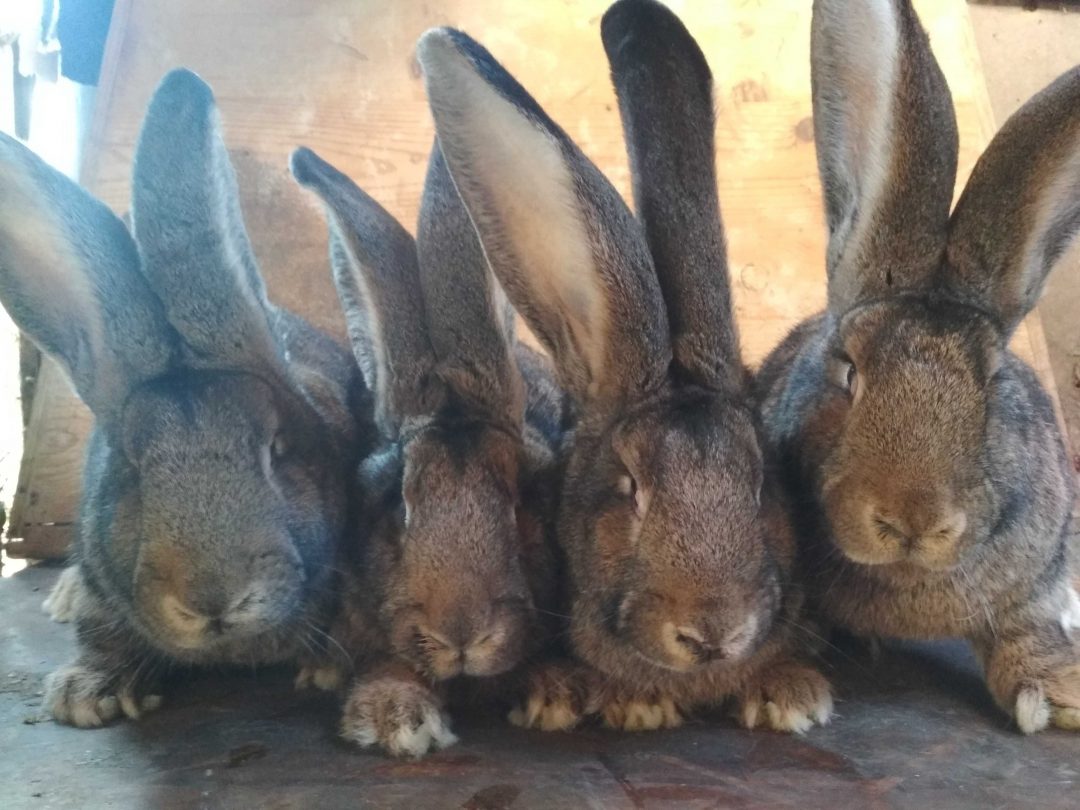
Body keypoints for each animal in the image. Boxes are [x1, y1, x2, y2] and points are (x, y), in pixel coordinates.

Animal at [751, 0, 1080, 734]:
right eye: (848, 371)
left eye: (993, 381)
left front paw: (1059, 692)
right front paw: (786, 696)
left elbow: (1027, 628)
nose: (913, 522)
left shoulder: (1038, 577)